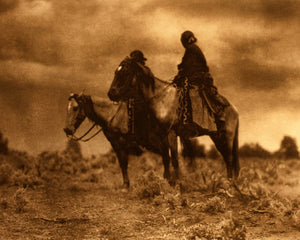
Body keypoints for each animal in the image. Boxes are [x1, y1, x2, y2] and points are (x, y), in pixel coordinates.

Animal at [108, 57, 239, 179]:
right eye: (115, 71)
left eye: (125, 72)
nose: (111, 94)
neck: (162, 100)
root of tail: (234, 109)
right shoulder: (161, 136)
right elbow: (166, 159)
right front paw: (168, 181)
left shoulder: (171, 134)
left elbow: (175, 160)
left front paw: (179, 183)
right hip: (217, 136)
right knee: (226, 158)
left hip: (227, 136)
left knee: (229, 158)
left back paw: (229, 182)